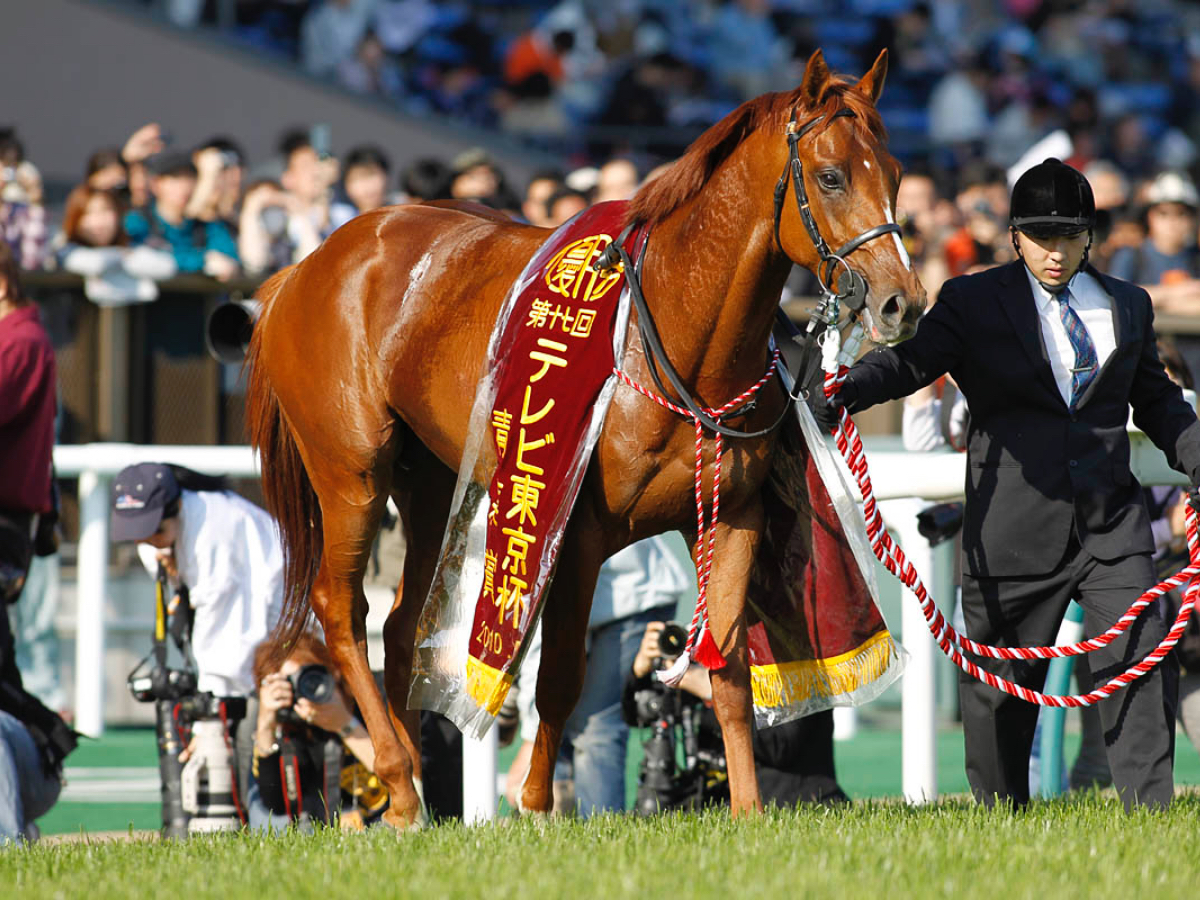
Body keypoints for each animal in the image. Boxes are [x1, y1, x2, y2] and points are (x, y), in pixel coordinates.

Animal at [241, 45, 916, 830]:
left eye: (895, 173)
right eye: (831, 175)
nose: (903, 302)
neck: (675, 339)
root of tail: (304, 269)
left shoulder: (733, 516)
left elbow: (728, 671)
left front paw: (747, 809)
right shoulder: (579, 529)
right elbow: (562, 675)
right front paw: (536, 803)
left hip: (432, 480)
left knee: (404, 623)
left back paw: (413, 794)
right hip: (351, 470)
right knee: (343, 609)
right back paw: (398, 778)